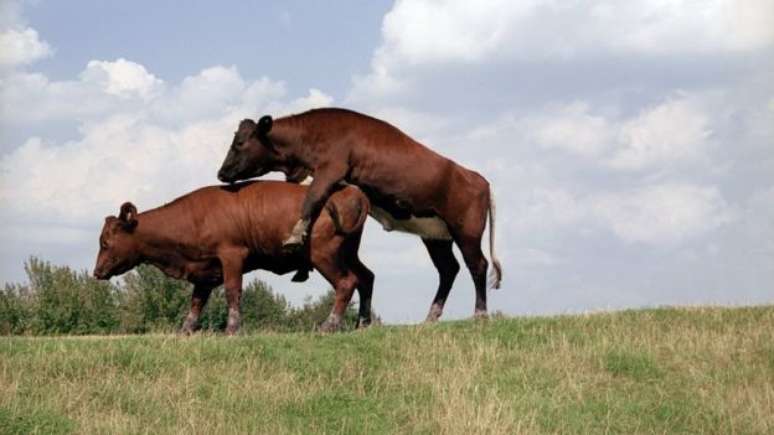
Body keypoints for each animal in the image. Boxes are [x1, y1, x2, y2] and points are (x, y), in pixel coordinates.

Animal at [94, 181, 376, 334]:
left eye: (105, 242)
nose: (97, 272)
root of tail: (349, 192)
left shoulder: (232, 256)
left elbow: (232, 292)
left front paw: (232, 329)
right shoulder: (204, 270)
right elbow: (196, 302)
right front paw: (185, 330)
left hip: (324, 255)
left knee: (346, 283)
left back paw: (329, 326)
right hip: (348, 254)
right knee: (366, 278)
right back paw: (362, 324)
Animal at [217, 107, 504, 322]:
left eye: (240, 143)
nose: (221, 173)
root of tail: (477, 178)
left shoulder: (330, 169)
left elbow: (311, 200)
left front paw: (295, 235)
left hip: (467, 231)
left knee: (477, 265)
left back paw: (480, 314)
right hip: (435, 235)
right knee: (448, 269)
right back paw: (431, 317)